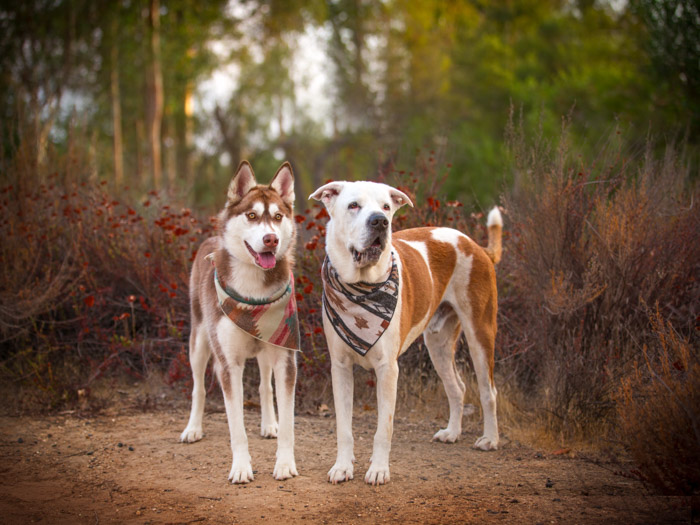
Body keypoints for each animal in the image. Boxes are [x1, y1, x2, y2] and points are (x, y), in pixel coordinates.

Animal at [180, 160, 298, 484]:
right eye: (252, 215)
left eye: (278, 217)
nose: (271, 239)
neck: (252, 288)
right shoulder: (228, 364)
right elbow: (237, 429)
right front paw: (242, 467)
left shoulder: (285, 357)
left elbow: (287, 422)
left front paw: (285, 464)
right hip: (198, 343)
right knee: (198, 387)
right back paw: (193, 428)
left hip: (267, 346)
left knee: (264, 386)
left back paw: (268, 424)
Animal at [312, 180, 504, 484]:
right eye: (353, 205)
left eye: (386, 207)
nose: (380, 221)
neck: (361, 287)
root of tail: (475, 245)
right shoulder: (340, 368)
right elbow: (344, 427)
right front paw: (342, 466)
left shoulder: (388, 370)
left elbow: (384, 429)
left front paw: (379, 469)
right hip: (437, 343)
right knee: (457, 388)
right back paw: (452, 433)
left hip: (480, 333)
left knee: (488, 391)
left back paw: (490, 439)